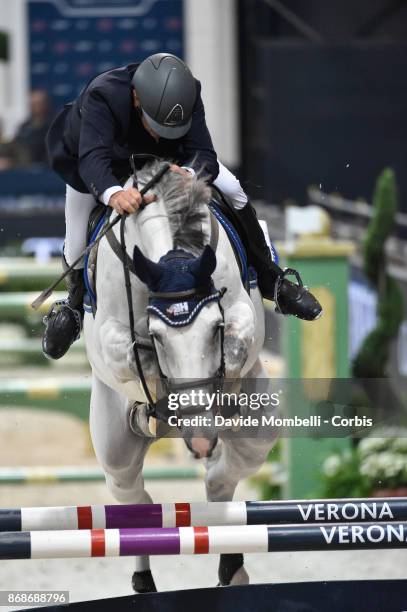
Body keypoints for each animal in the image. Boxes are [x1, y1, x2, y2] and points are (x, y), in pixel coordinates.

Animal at [84, 160, 278, 592]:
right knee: (133, 500)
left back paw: (231, 564)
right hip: (114, 452)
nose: (201, 439)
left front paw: (221, 397)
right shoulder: (110, 336)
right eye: (157, 336)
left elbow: (237, 342)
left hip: (260, 431)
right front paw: (153, 407)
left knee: (223, 477)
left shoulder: (241, 312)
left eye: (215, 327)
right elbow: (132, 355)